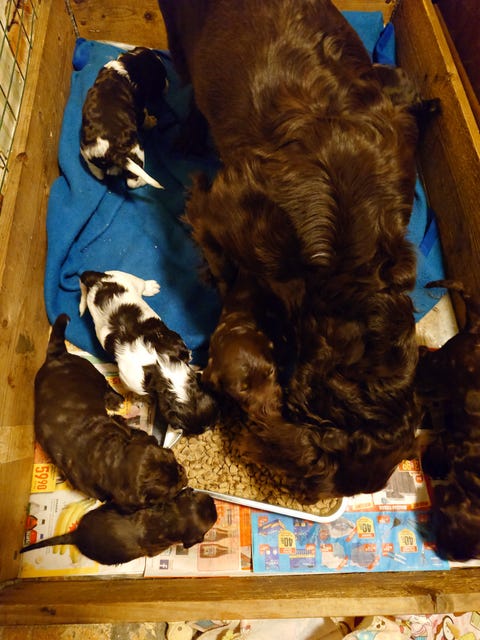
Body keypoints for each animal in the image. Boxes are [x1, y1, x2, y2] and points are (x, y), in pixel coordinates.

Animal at [35, 314, 187, 511]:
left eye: (173, 457)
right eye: (171, 492)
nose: (184, 472)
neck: (111, 458)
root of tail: (55, 355)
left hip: (90, 370)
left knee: (105, 384)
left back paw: (115, 401)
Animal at [79, 270, 219, 435]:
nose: (211, 428)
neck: (162, 368)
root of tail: (98, 281)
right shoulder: (130, 379)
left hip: (124, 277)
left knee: (140, 284)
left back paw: (151, 286)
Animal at [81, 46, 167, 189]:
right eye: (162, 74)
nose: (167, 84)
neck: (130, 64)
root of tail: (110, 152)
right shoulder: (139, 108)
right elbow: (144, 118)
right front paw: (152, 121)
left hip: (87, 154)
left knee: (97, 173)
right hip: (137, 151)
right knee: (132, 182)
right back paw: (142, 182)